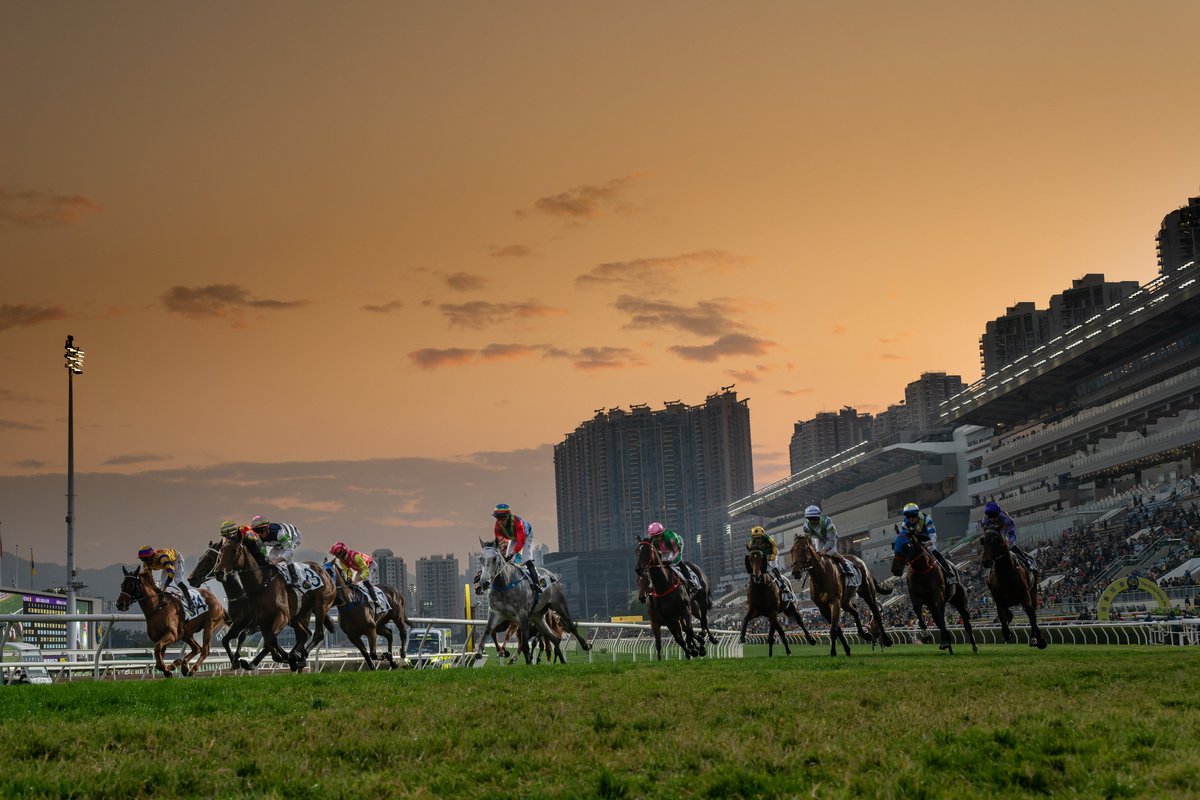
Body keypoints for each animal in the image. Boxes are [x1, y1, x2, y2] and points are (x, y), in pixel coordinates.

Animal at [213, 534, 338, 671]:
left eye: (234, 550)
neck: (262, 585)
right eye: (221, 551)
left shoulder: (281, 616)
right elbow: (258, 638)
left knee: (318, 634)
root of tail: (324, 572)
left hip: (321, 605)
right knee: (304, 634)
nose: (219, 572)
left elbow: (271, 639)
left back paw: (301, 655)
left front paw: (288, 657)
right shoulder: (260, 620)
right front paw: (240, 660)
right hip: (298, 614)